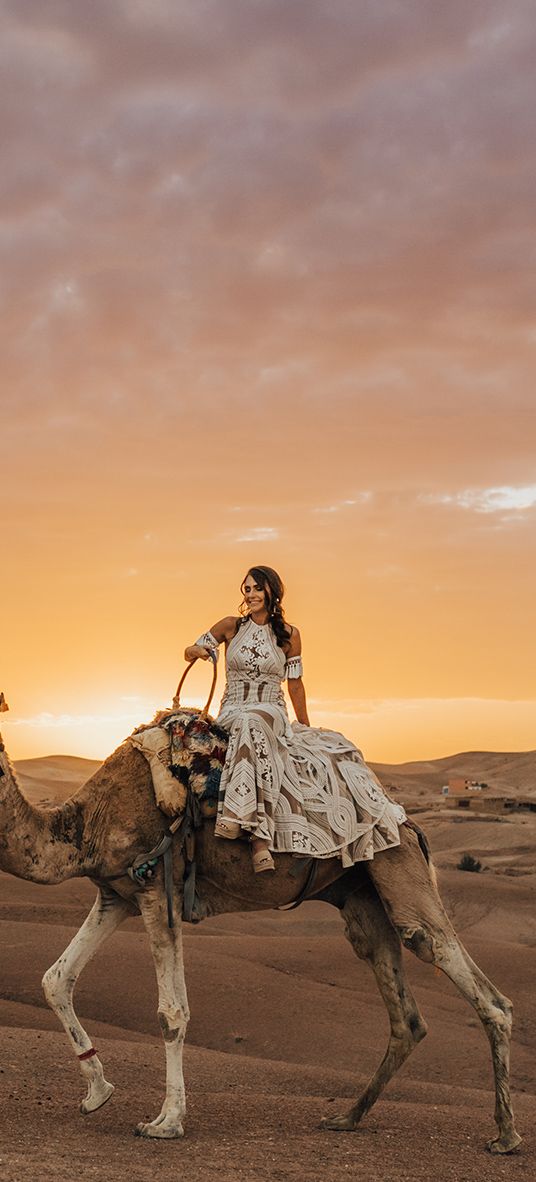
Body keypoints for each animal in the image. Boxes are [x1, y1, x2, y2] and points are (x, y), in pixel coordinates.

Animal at [0, 690, 520, 1153]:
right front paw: (97, 1092)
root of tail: (406, 819)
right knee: (403, 1007)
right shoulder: (115, 895)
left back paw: (505, 1135)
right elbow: (55, 979)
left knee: (461, 971)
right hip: (359, 895)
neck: (85, 825)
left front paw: (166, 1122)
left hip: (396, 863)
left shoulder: (158, 891)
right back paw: (347, 1117)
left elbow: (171, 1012)